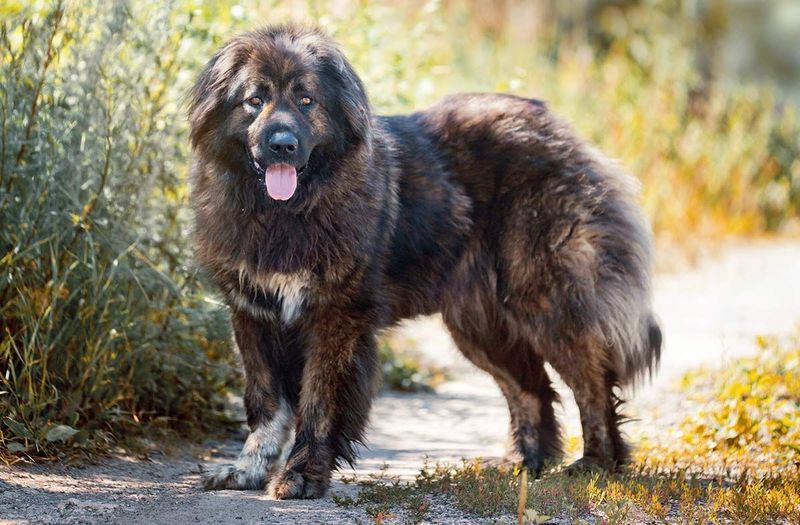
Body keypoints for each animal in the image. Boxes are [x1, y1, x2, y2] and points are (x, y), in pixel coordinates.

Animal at [189, 25, 664, 500]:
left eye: (307, 100)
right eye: (255, 100)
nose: (282, 145)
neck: (286, 212)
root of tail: (560, 129)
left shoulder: (334, 317)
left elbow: (318, 403)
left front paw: (302, 475)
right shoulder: (252, 313)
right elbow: (265, 402)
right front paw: (247, 470)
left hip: (544, 300)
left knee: (591, 380)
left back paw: (596, 463)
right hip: (479, 325)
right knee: (531, 388)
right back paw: (525, 465)